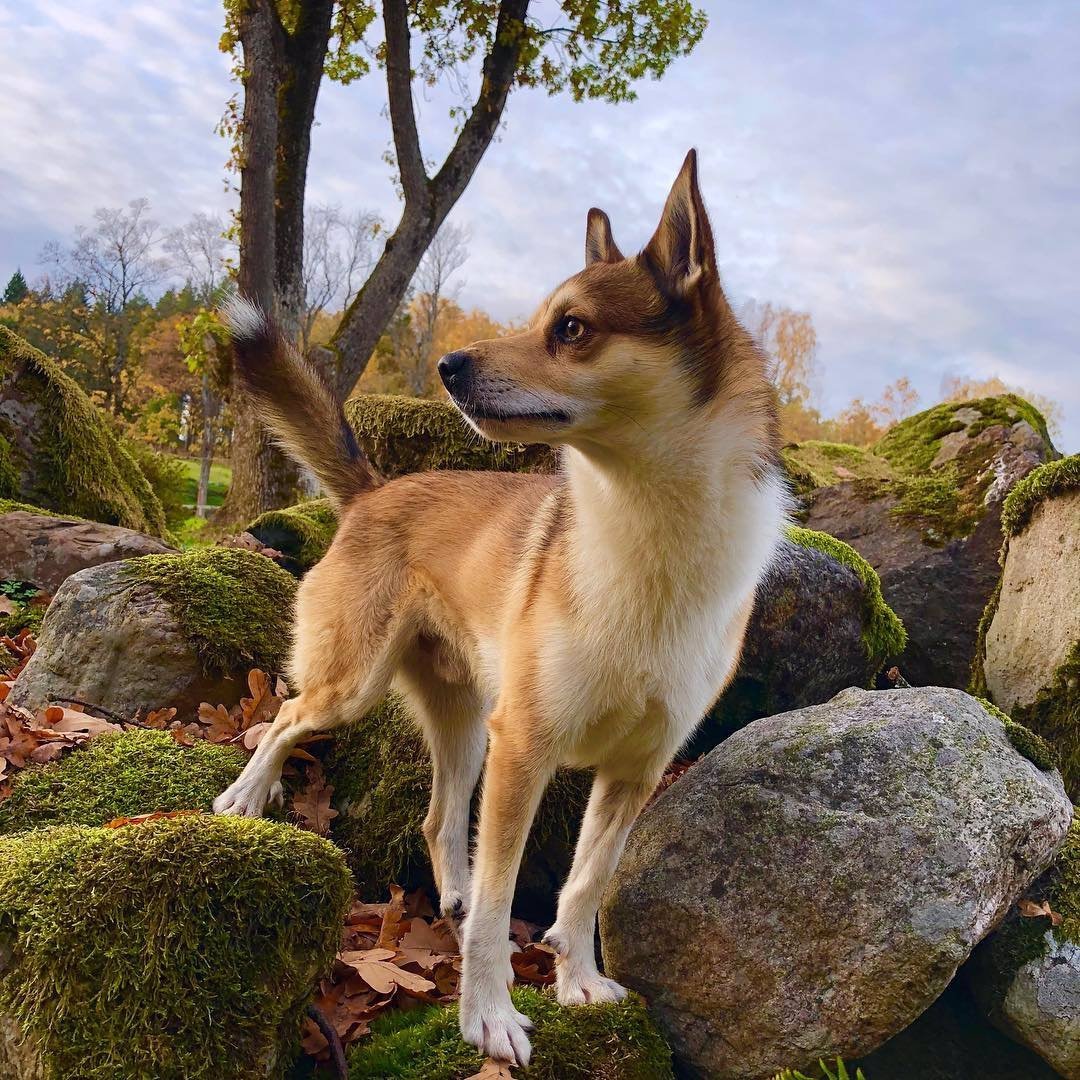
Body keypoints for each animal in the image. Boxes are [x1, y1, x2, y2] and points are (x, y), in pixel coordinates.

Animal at [212, 150, 786, 1062]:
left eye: (572, 328)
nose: (449, 367)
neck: (648, 534)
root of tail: (376, 490)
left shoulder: (634, 771)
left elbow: (583, 885)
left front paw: (578, 980)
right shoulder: (527, 751)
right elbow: (498, 900)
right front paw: (487, 1014)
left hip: (465, 723)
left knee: (438, 821)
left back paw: (441, 894)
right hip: (359, 687)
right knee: (288, 717)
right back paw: (246, 796)